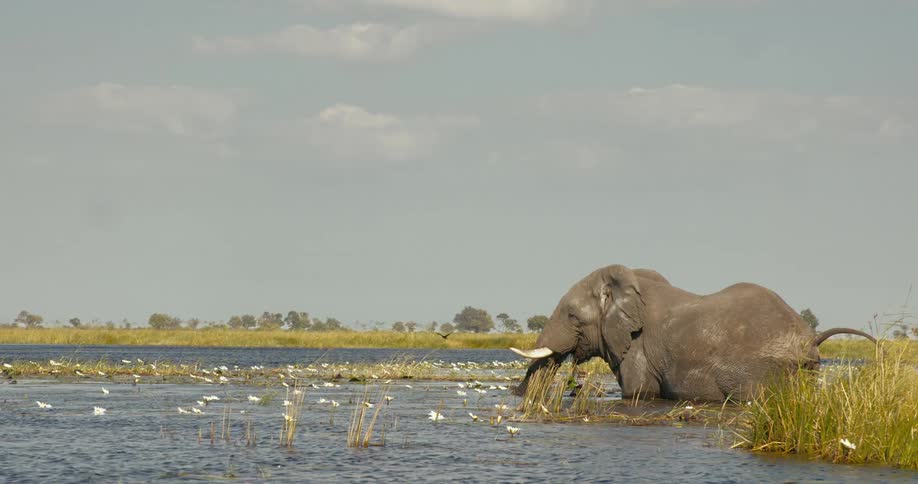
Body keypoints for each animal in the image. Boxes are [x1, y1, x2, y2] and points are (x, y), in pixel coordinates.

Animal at [511, 264, 875, 401]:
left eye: (572, 315)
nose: (517, 394)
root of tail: (808, 338)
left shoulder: (639, 348)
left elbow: (638, 392)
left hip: (763, 371)